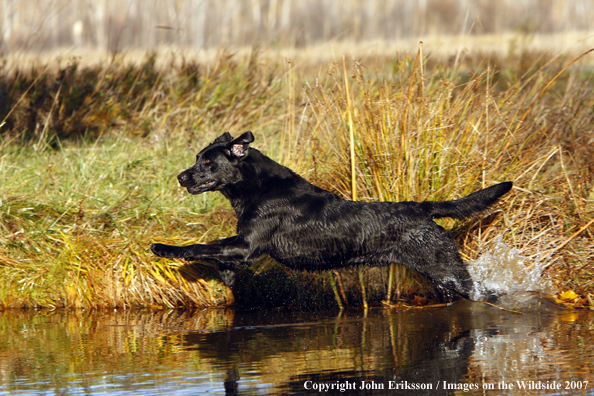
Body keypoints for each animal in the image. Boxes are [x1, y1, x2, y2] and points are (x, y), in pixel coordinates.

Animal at [150, 131, 512, 298]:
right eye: (198, 157)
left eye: (208, 162)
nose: (181, 177)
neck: (257, 187)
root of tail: (422, 206)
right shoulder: (243, 243)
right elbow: (216, 248)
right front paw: (225, 274)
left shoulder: (249, 245)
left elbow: (201, 245)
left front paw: (164, 249)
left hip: (445, 267)